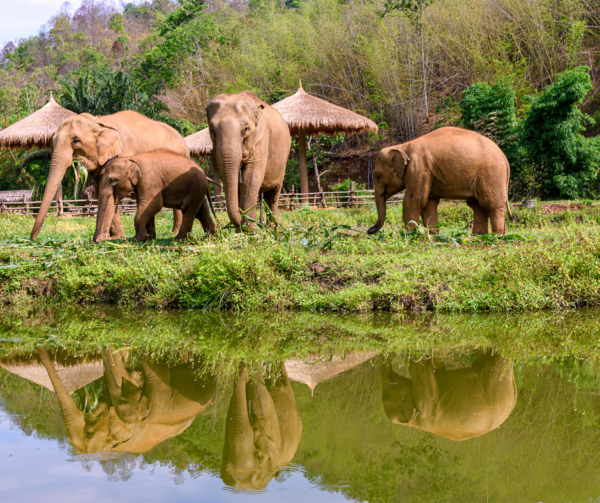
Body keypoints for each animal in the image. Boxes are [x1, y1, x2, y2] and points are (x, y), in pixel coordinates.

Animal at [29, 110, 185, 244]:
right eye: (52, 141)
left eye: (76, 141)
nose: (33, 239)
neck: (99, 122)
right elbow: (103, 193)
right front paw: (115, 238)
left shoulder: (121, 155)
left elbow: (110, 194)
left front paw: (102, 239)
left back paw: (174, 233)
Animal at [206, 90, 290, 230]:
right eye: (212, 130)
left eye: (245, 129)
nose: (220, 225)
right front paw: (241, 231)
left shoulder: (261, 140)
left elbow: (251, 179)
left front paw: (248, 232)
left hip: (283, 161)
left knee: (273, 196)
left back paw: (273, 230)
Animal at [368, 126, 512, 236]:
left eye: (378, 176)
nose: (369, 230)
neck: (403, 146)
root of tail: (505, 158)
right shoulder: (426, 173)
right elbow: (428, 203)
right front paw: (433, 237)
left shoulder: (418, 169)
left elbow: (414, 201)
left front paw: (408, 235)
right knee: (477, 205)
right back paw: (479, 236)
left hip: (492, 174)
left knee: (491, 204)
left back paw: (498, 237)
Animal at [382, 350, 516, 440]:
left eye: (386, 395)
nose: (386, 356)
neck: (414, 424)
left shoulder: (425, 401)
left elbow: (419, 366)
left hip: (496, 382)